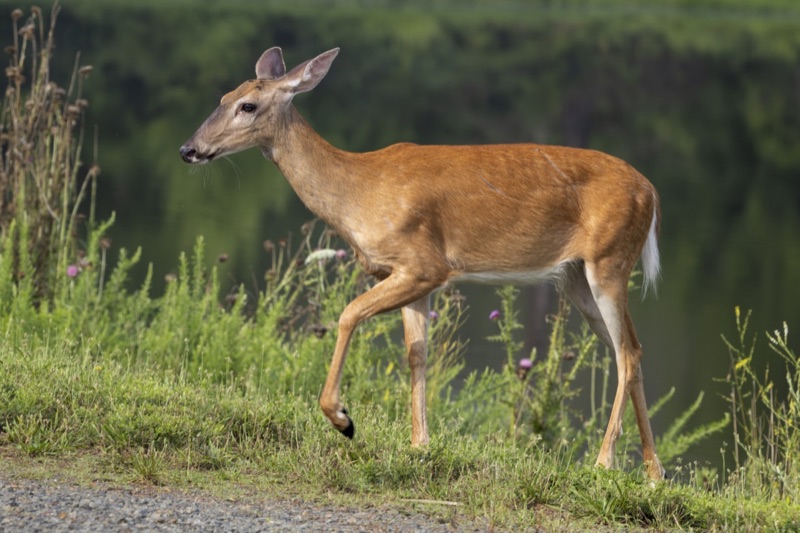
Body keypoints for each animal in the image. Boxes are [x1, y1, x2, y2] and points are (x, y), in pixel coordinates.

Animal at [179, 46, 666, 481]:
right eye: (223, 96)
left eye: (248, 105)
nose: (189, 148)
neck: (356, 192)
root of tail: (652, 192)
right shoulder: (411, 278)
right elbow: (417, 353)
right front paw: (420, 444)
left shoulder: (424, 264)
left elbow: (348, 314)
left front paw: (342, 418)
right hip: (577, 277)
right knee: (634, 349)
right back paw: (653, 472)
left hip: (609, 260)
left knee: (626, 353)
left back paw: (604, 463)